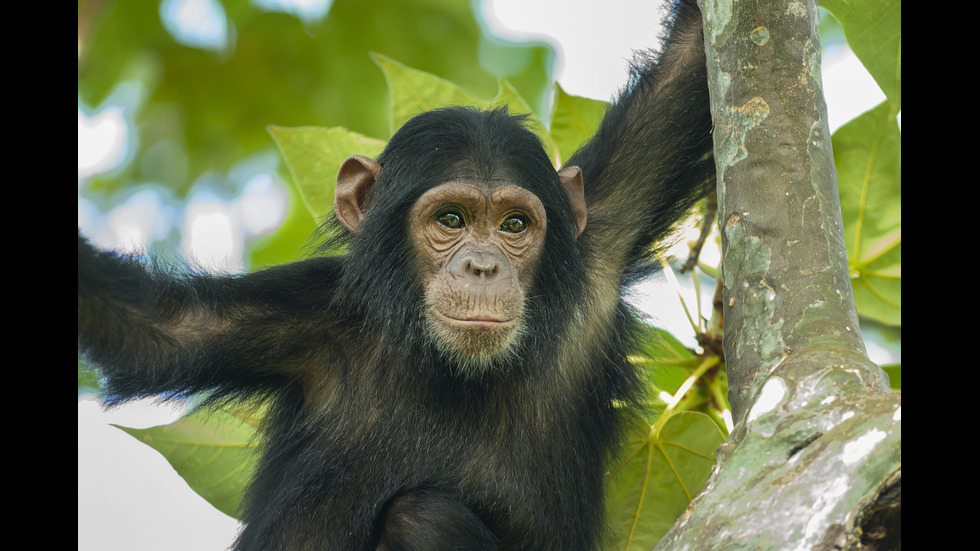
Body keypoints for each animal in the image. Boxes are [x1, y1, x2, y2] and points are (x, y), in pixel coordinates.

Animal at [76, 2, 716, 548]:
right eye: (451, 218)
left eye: (514, 224)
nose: (483, 265)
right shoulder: (304, 315)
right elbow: (161, 328)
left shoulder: (600, 243)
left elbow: (686, 71)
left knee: (423, 516)